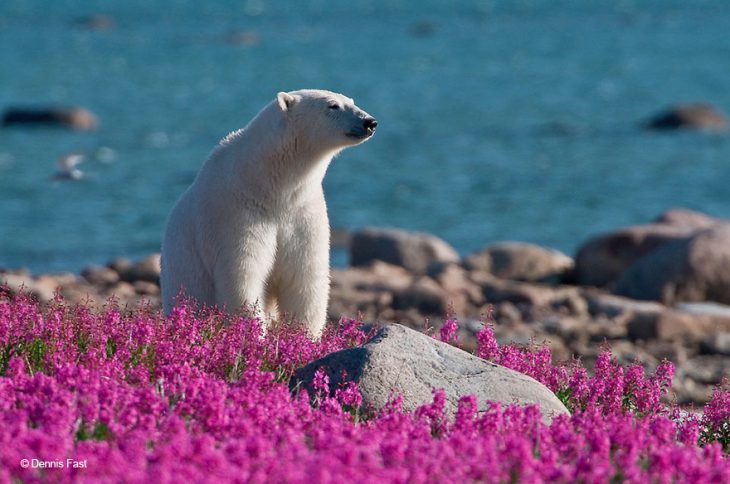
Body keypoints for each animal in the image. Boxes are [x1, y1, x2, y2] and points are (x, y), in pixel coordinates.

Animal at [159, 90, 376, 336]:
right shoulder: (236, 213)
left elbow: (304, 277)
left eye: (351, 101)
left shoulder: (302, 212)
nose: (370, 122)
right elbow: (244, 277)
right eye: (333, 106)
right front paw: (255, 335)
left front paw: (304, 337)